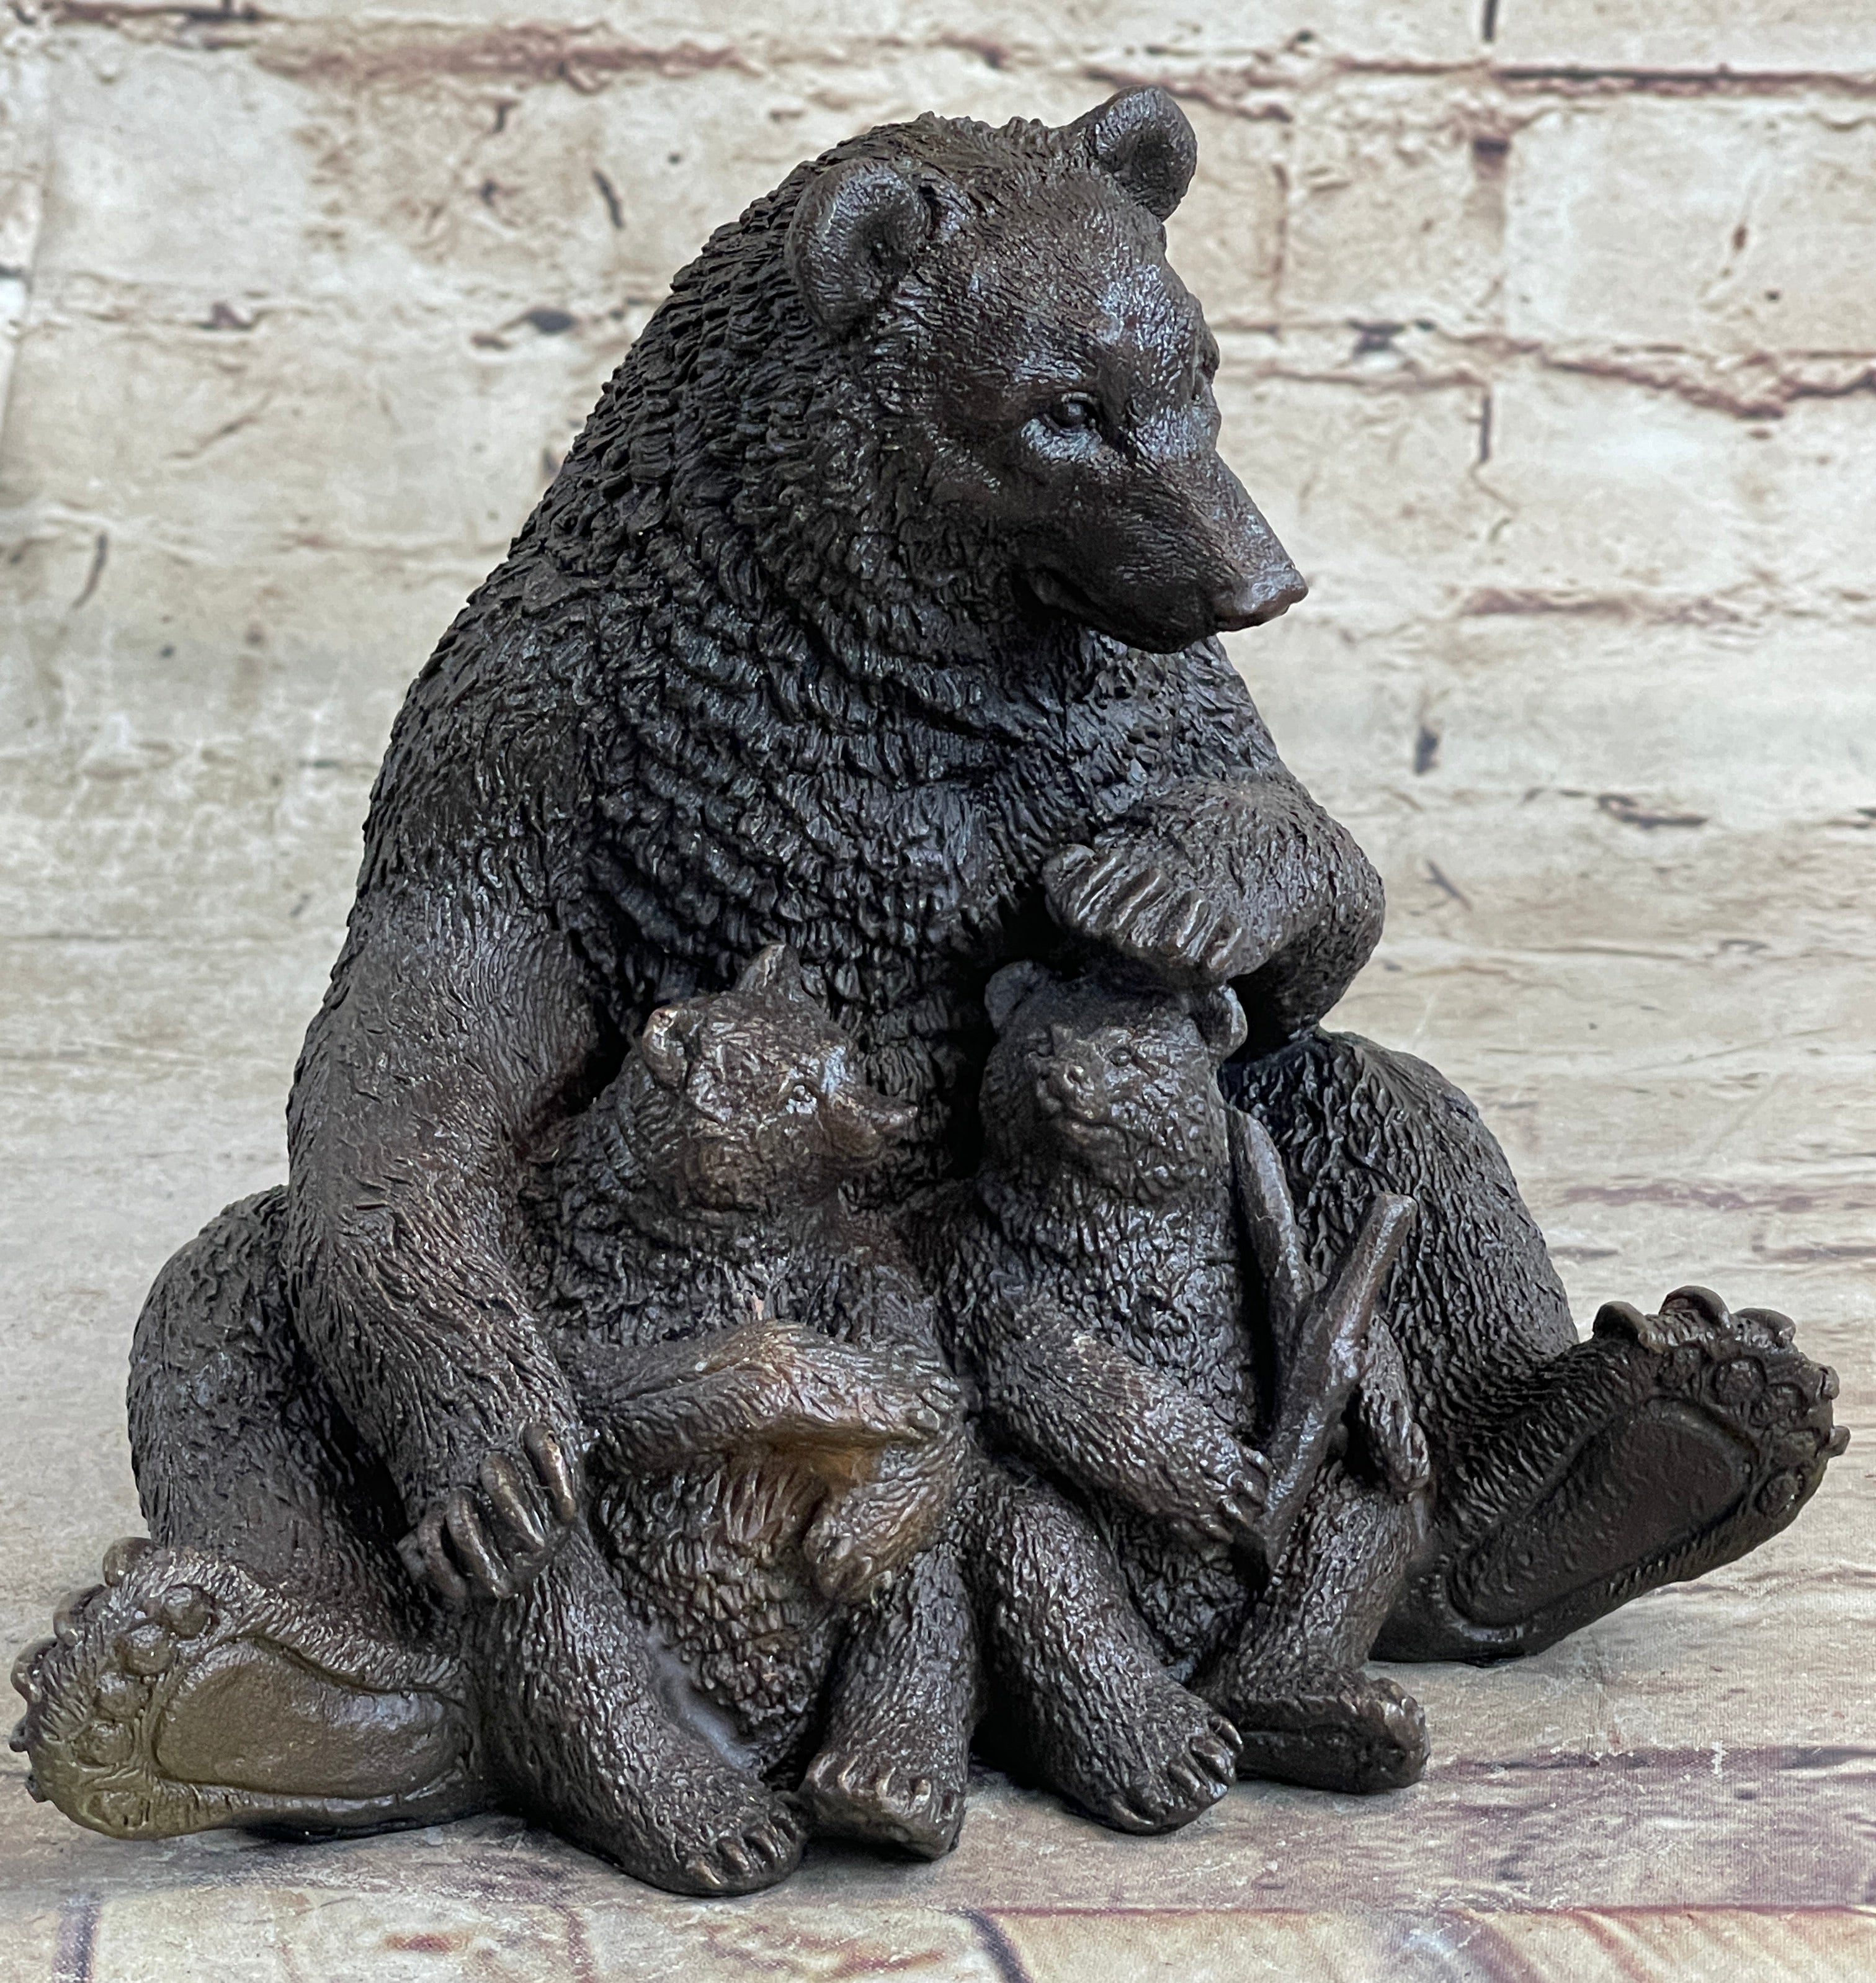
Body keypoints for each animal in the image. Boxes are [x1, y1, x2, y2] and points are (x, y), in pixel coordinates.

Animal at [935, 958, 1436, 1794]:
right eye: (1040, 1043)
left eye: (1130, 1053)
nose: (1065, 1076)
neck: (1108, 1213)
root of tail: (1183, 1657)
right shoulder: (985, 1262)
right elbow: (1048, 1360)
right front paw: (1219, 1475)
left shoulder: (1246, 1228)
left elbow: (1323, 1286)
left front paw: (1391, 1404)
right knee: (1043, 1546)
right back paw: (1171, 1752)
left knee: (1357, 1516)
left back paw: (1322, 1710)